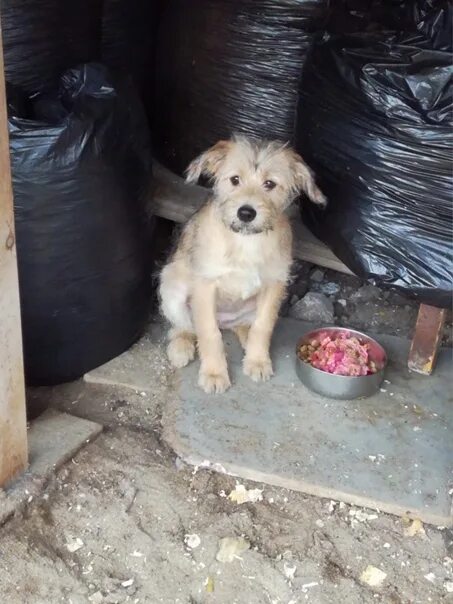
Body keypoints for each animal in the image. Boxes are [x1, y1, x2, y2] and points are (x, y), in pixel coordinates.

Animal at [159, 134, 324, 394]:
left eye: (270, 184)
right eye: (235, 179)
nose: (246, 213)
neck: (245, 241)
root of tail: (225, 321)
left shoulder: (274, 284)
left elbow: (263, 326)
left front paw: (258, 361)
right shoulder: (205, 285)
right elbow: (209, 333)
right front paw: (214, 374)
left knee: (245, 325)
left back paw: (246, 338)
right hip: (171, 284)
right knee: (184, 326)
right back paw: (181, 347)